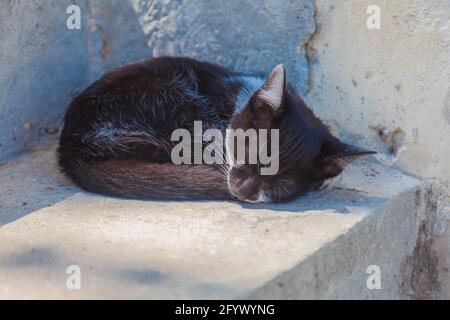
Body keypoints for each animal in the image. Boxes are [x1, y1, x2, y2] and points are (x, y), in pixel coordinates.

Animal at [59, 57, 376, 202]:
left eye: (282, 185)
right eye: (249, 154)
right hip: (173, 97)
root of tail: (70, 148)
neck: (239, 98)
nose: (242, 192)